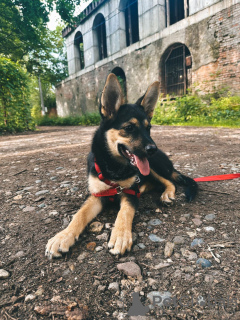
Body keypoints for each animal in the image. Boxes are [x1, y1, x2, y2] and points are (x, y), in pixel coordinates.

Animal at [46, 74, 198, 258]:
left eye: (149, 128)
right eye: (129, 127)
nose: (152, 149)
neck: (114, 168)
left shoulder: (130, 192)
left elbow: (125, 212)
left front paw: (120, 235)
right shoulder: (97, 195)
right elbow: (79, 215)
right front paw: (63, 236)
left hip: (153, 167)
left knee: (170, 181)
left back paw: (167, 194)